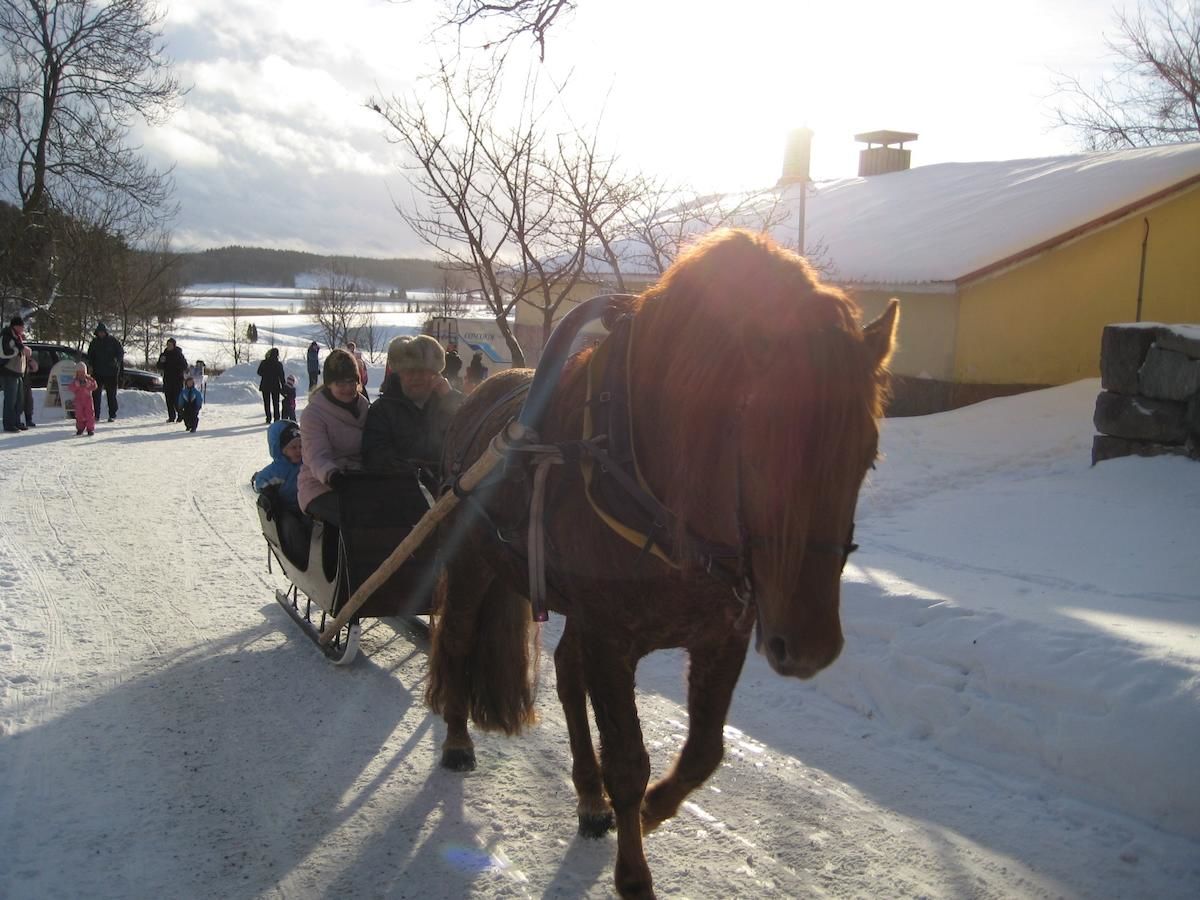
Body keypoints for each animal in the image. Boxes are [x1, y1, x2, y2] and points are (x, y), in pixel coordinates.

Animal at [427, 229, 897, 897]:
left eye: (868, 457)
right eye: (760, 453)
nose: (809, 647)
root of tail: (478, 400)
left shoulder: (722, 634)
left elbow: (704, 753)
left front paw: (648, 811)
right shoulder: (611, 638)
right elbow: (628, 762)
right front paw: (633, 869)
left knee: (565, 672)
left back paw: (589, 797)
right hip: (474, 566)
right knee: (460, 642)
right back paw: (458, 740)